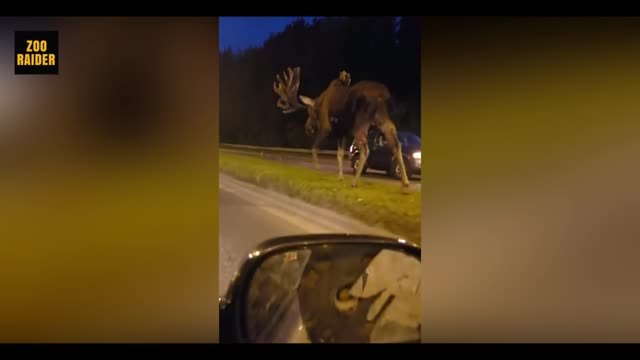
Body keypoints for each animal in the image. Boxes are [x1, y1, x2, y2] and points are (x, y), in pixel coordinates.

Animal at [272, 66, 410, 193]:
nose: (308, 128)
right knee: (396, 144)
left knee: (365, 150)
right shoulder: (341, 132)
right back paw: (405, 184)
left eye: (310, 112)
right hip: (382, 119)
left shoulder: (327, 127)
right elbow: (340, 154)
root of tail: (383, 95)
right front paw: (340, 177)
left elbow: (314, 148)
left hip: (360, 122)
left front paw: (317, 171)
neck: (320, 102)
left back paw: (354, 182)